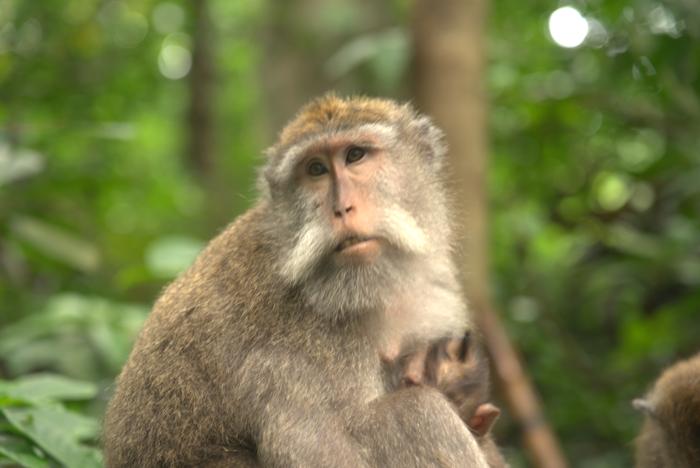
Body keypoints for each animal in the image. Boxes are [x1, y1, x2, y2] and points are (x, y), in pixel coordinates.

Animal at [103, 95, 487, 467]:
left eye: (355, 155)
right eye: (316, 169)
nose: (341, 208)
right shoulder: (301, 343)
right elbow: (311, 450)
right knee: (418, 412)